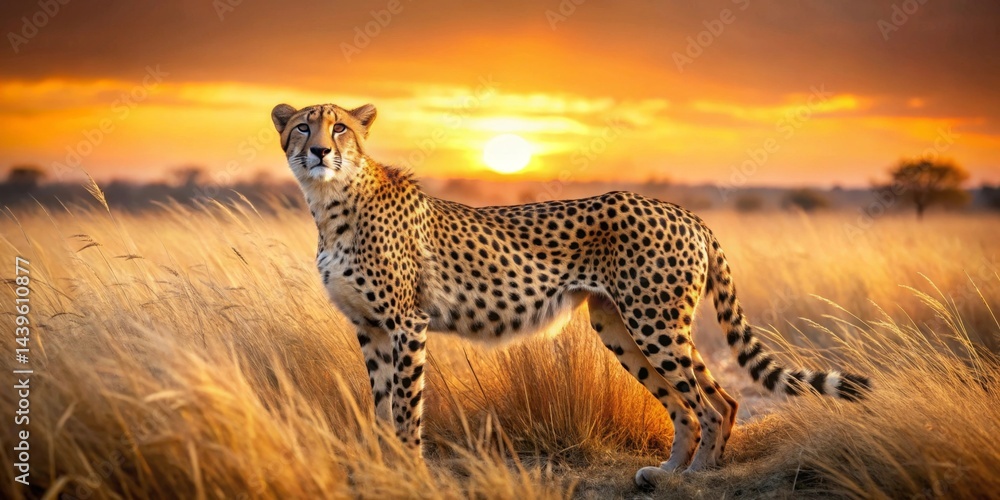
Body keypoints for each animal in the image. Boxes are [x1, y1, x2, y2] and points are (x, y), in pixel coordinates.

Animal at [270, 102, 871, 488]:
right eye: (301, 126)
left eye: (340, 128)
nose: (318, 151)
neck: (332, 202)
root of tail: (682, 210)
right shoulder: (369, 328)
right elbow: (378, 405)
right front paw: (379, 464)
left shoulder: (406, 324)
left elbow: (406, 405)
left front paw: (409, 469)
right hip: (619, 324)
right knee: (694, 402)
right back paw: (668, 472)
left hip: (654, 321)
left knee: (714, 401)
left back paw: (696, 480)